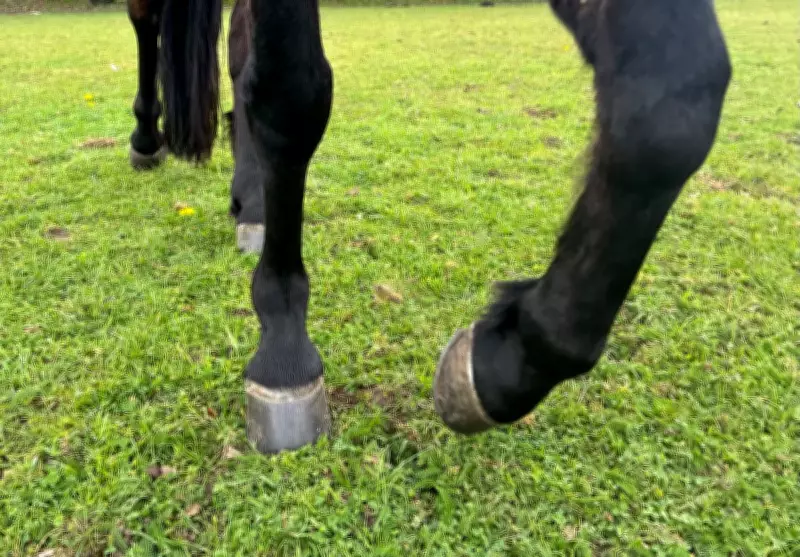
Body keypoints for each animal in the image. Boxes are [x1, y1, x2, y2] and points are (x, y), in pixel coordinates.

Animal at [125, 0, 731, 453]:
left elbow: (671, 106)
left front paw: (510, 359)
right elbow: (289, 92)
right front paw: (284, 353)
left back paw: (251, 201)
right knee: (152, 22)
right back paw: (147, 140)